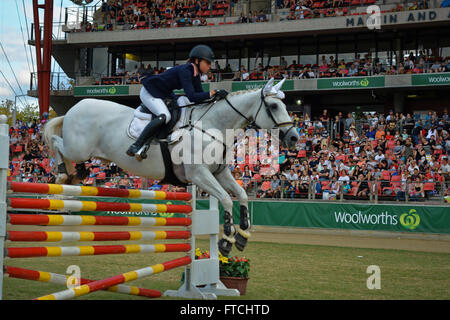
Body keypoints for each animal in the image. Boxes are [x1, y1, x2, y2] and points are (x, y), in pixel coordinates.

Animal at [44, 79, 300, 256]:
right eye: (274, 106)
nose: (295, 138)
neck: (212, 126)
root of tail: (75, 107)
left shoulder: (219, 172)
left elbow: (242, 195)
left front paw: (243, 235)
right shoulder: (200, 175)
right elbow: (227, 199)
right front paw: (227, 240)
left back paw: (72, 177)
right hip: (78, 148)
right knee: (56, 141)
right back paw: (63, 174)